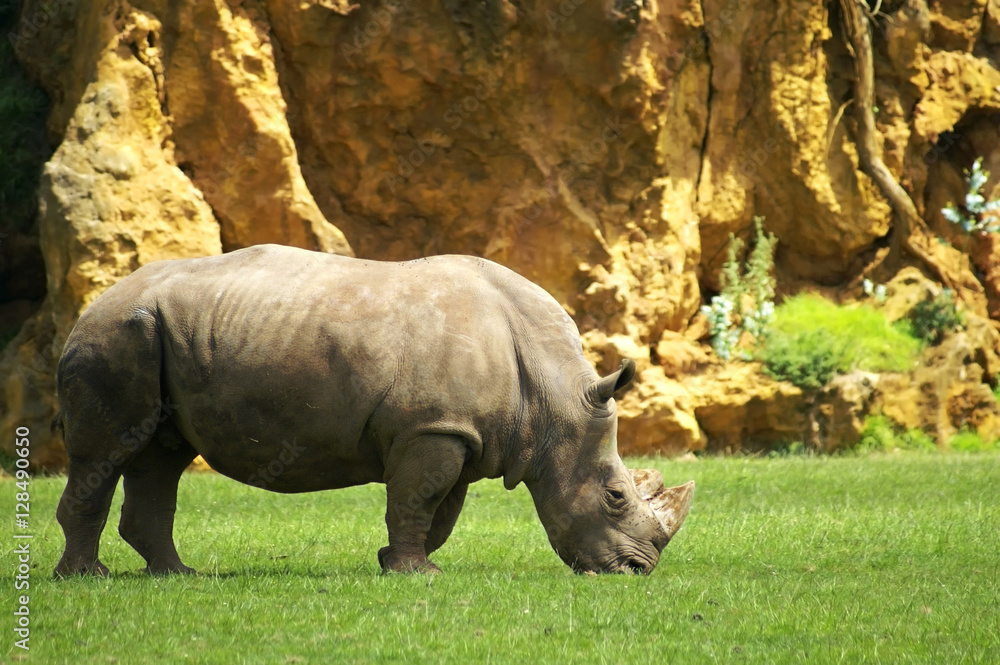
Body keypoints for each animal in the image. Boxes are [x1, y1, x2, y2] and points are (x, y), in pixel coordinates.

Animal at [52, 244, 694, 577]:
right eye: (615, 496)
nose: (638, 571)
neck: (553, 400)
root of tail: (92, 304)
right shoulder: (432, 429)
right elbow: (419, 500)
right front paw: (416, 574)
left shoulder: (457, 432)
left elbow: (440, 511)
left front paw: (396, 563)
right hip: (116, 334)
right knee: (107, 449)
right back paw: (88, 579)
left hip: (157, 333)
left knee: (162, 454)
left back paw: (175, 576)